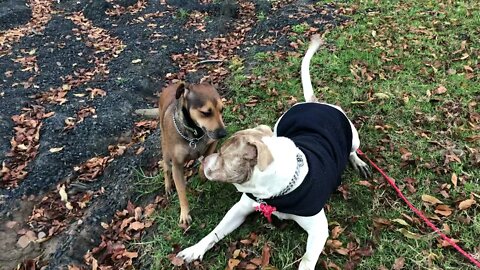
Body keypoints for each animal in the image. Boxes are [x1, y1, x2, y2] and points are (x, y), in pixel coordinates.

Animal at [158, 81, 225, 225]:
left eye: (222, 110)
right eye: (205, 113)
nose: (224, 133)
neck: (195, 133)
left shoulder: (213, 142)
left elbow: (205, 159)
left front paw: (202, 174)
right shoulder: (177, 166)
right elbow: (181, 191)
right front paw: (185, 213)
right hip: (165, 148)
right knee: (166, 167)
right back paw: (168, 185)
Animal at [176, 34, 372, 268]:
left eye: (223, 155)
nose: (204, 161)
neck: (275, 192)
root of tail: (314, 103)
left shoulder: (318, 230)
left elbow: (306, 261)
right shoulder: (239, 209)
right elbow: (214, 232)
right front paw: (194, 250)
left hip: (353, 136)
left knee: (352, 150)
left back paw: (359, 162)